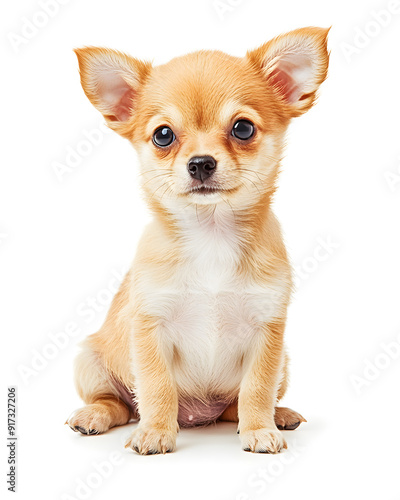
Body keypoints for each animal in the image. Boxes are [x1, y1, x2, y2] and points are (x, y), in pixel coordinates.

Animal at [66, 28, 328, 458]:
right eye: (163, 135)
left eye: (243, 128)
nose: (201, 163)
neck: (212, 233)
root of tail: (199, 414)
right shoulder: (151, 326)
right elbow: (156, 386)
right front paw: (156, 432)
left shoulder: (267, 331)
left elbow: (257, 388)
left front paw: (260, 430)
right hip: (90, 361)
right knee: (119, 404)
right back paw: (96, 415)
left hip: (284, 364)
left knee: (237, 405)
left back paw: (277, 415)